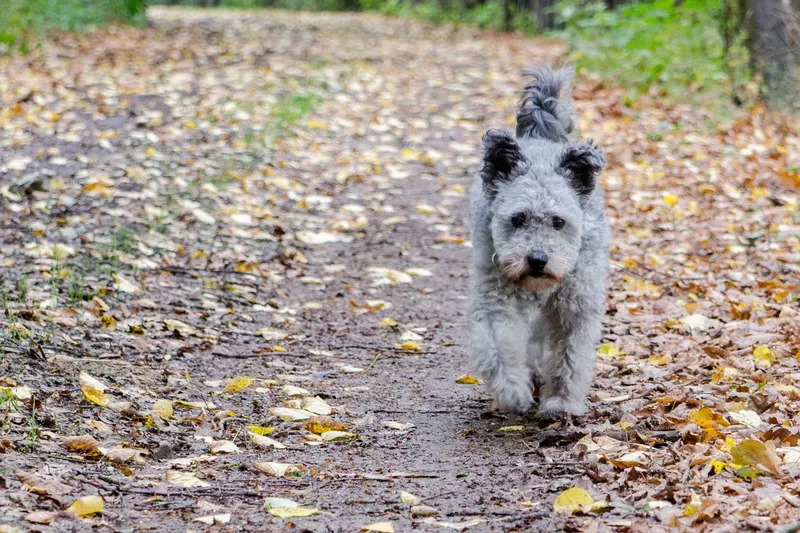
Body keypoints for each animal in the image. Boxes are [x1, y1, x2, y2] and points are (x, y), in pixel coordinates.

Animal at [466, 64, 608, 418]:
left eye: (558, 222)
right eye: (518, 219)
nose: (538, 260)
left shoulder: (574, 307)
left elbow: (570, 356)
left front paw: (561, 401)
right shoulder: (495, 302)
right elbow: (499, 349)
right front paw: (513, 392)